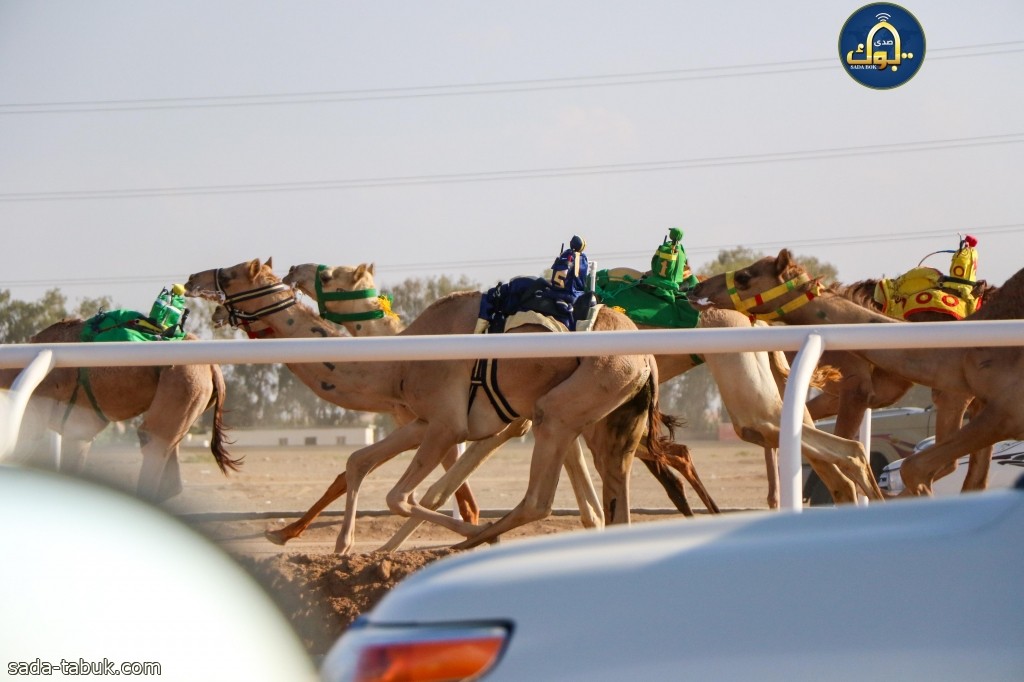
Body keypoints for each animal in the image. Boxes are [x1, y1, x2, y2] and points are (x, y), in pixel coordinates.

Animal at [185, 256, 675, 552]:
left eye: (232, 274)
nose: (192, 279)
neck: (398, 361)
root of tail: (645, 358)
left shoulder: (448, 426)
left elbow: (404, 496)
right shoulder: (422, 421)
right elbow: (358, 461)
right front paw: (340, 545)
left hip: (568, 402)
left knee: (541, 501)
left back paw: (473, 540)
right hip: (610, 417)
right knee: (609, 501)